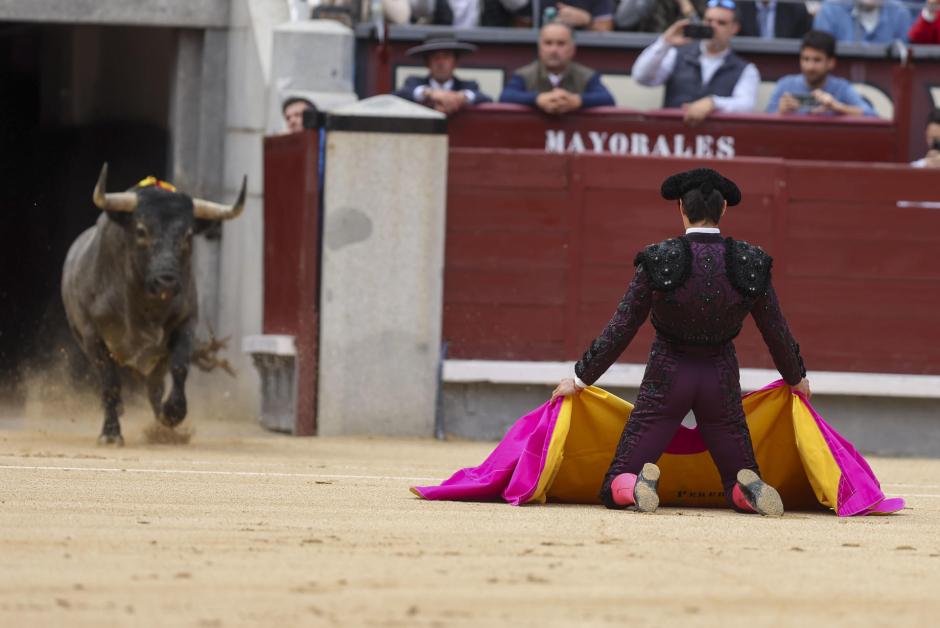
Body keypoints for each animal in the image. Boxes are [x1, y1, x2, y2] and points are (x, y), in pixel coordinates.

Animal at [62, 164, 246, 444]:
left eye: (188, 234)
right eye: (141, 230)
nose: (166, 282)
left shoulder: (186, 323)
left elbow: (179, 367)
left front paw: (174, 413)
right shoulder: (93, 335)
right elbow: (109, 382)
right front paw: (111, 433)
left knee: (154, 387)